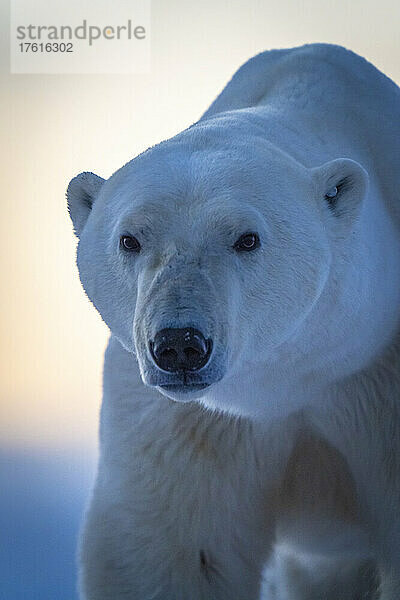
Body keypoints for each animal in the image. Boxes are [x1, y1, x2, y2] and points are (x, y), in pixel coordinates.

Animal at [67, 43, 400, 600]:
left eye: (247, 238)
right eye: (129, 239)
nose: (179, 344)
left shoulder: (374, 388)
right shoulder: (187, 424)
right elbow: (176, 552)